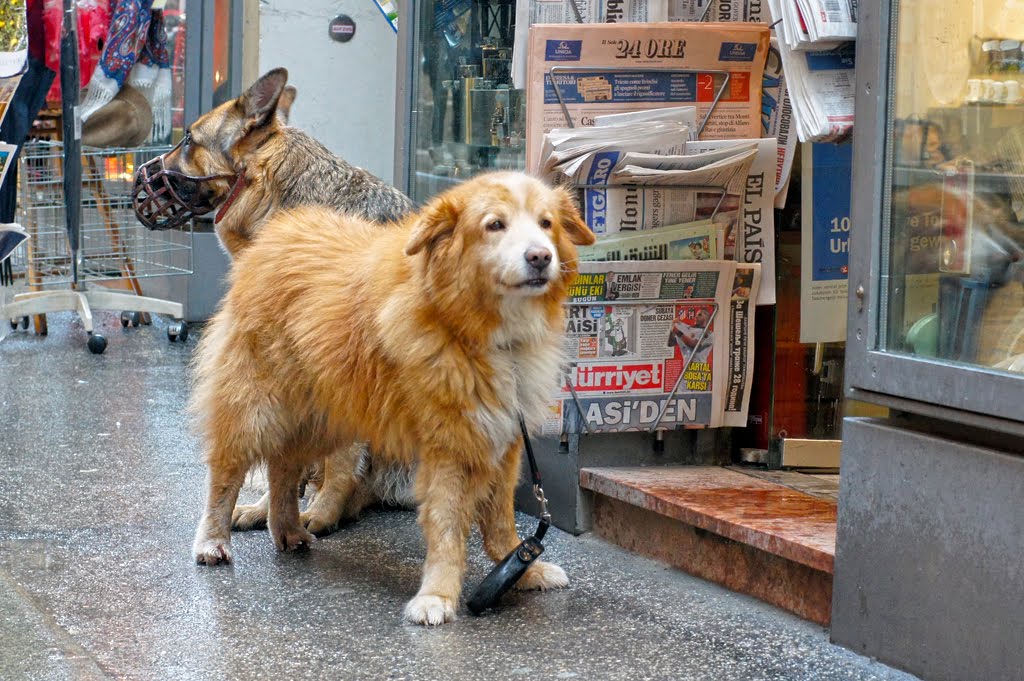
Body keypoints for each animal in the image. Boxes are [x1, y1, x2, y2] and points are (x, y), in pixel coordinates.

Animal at [189, 168, 598, 622]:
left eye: (546, 224)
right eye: (495, 225)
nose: (541, 257)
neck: (475, 329)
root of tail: (275, 234)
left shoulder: (502, 441)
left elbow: (499, 521)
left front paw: (523, 569)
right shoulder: (448, 447)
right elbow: (446, 524)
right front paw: (437, 595)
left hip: (326, 416)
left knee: (284, 467)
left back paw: (289, 529)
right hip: (258, 408)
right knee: (228, 474)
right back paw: (214, 540)